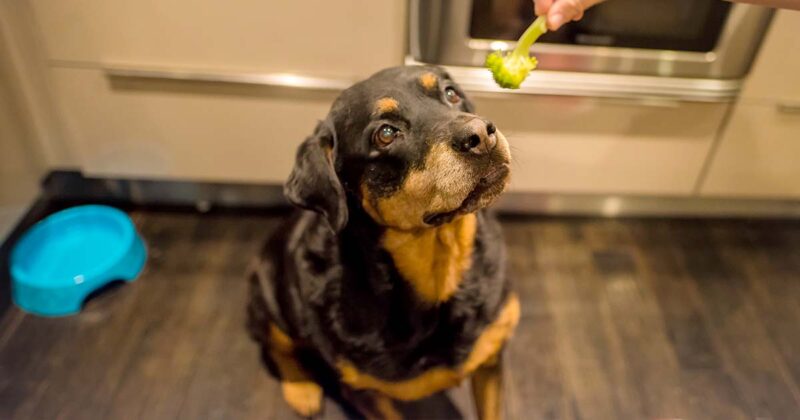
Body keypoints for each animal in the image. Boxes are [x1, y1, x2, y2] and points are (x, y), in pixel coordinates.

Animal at [247, 64, 516, 418]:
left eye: (451, 93)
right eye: (386, 134)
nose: (481, 136)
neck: (439, 267)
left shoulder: (491, 354)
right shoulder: (365, 391)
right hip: (267, 296)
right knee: (276, 344)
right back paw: (301, 389)